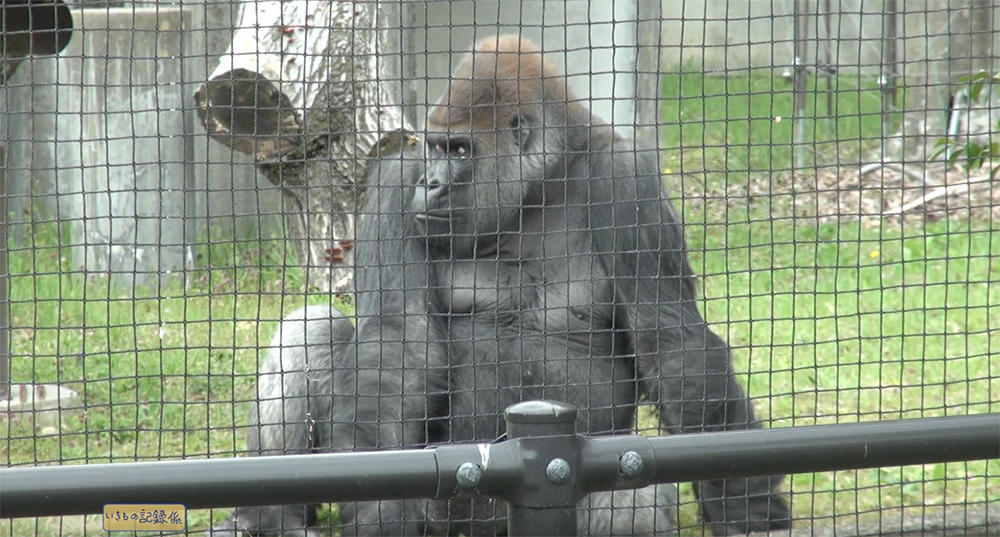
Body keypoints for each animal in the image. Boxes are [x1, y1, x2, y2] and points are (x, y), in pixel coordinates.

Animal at [217, 35, 788, 532]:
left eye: (460, 151)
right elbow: (398, 340)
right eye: (435, 148)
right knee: (312, 324)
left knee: (632, 490)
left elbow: (670, 342)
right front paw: (379, 509)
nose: (432, 184)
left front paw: (747, 502)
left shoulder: (628, 181)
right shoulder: (396, 181)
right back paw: (268, 519)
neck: (540, 185)